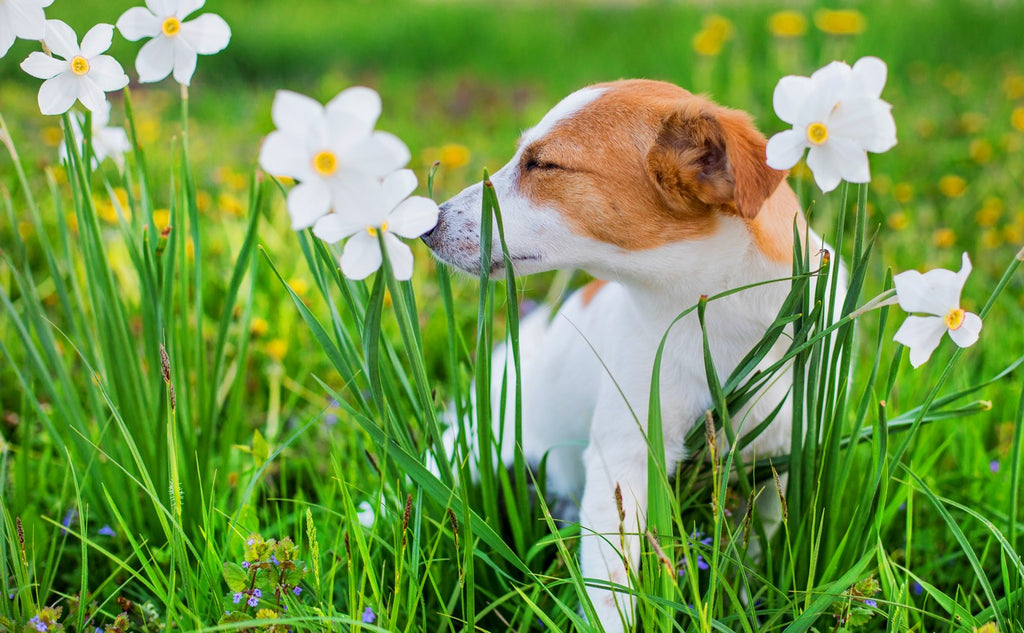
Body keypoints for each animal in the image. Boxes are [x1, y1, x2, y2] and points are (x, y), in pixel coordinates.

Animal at [419, 81, 819, 626]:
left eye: (543, 164)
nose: (425, 226)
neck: (717, 318)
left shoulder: (778, 459)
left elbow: (754, 554)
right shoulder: (623, 459)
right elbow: (611, 586)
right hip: (478, 445)